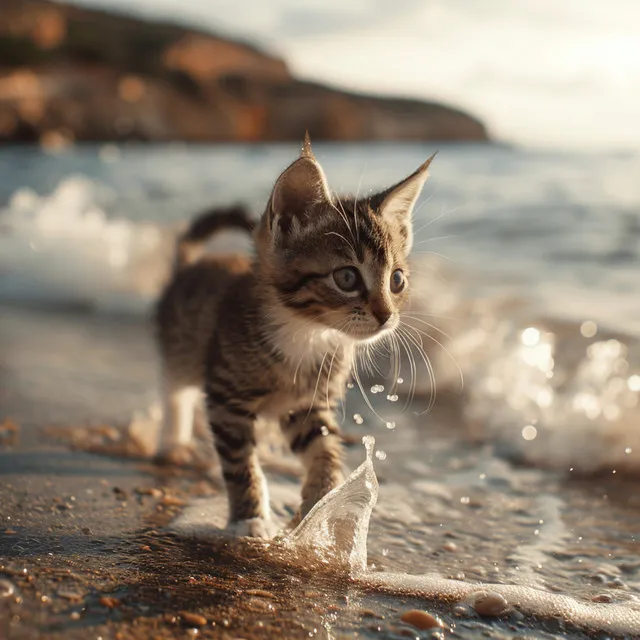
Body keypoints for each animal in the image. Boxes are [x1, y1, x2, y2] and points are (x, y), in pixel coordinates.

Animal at [155, 138, 436, 536]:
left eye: (397, 280)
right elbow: (240, 465)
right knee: (175, 392)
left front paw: (320, 506)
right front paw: (251, 518)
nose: (386, 316)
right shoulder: (226, 398)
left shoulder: (308, 404)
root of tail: (191, 265)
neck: (306, 333)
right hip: (181, 347)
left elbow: (324, 450)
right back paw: (173, 442)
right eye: (346, 278)